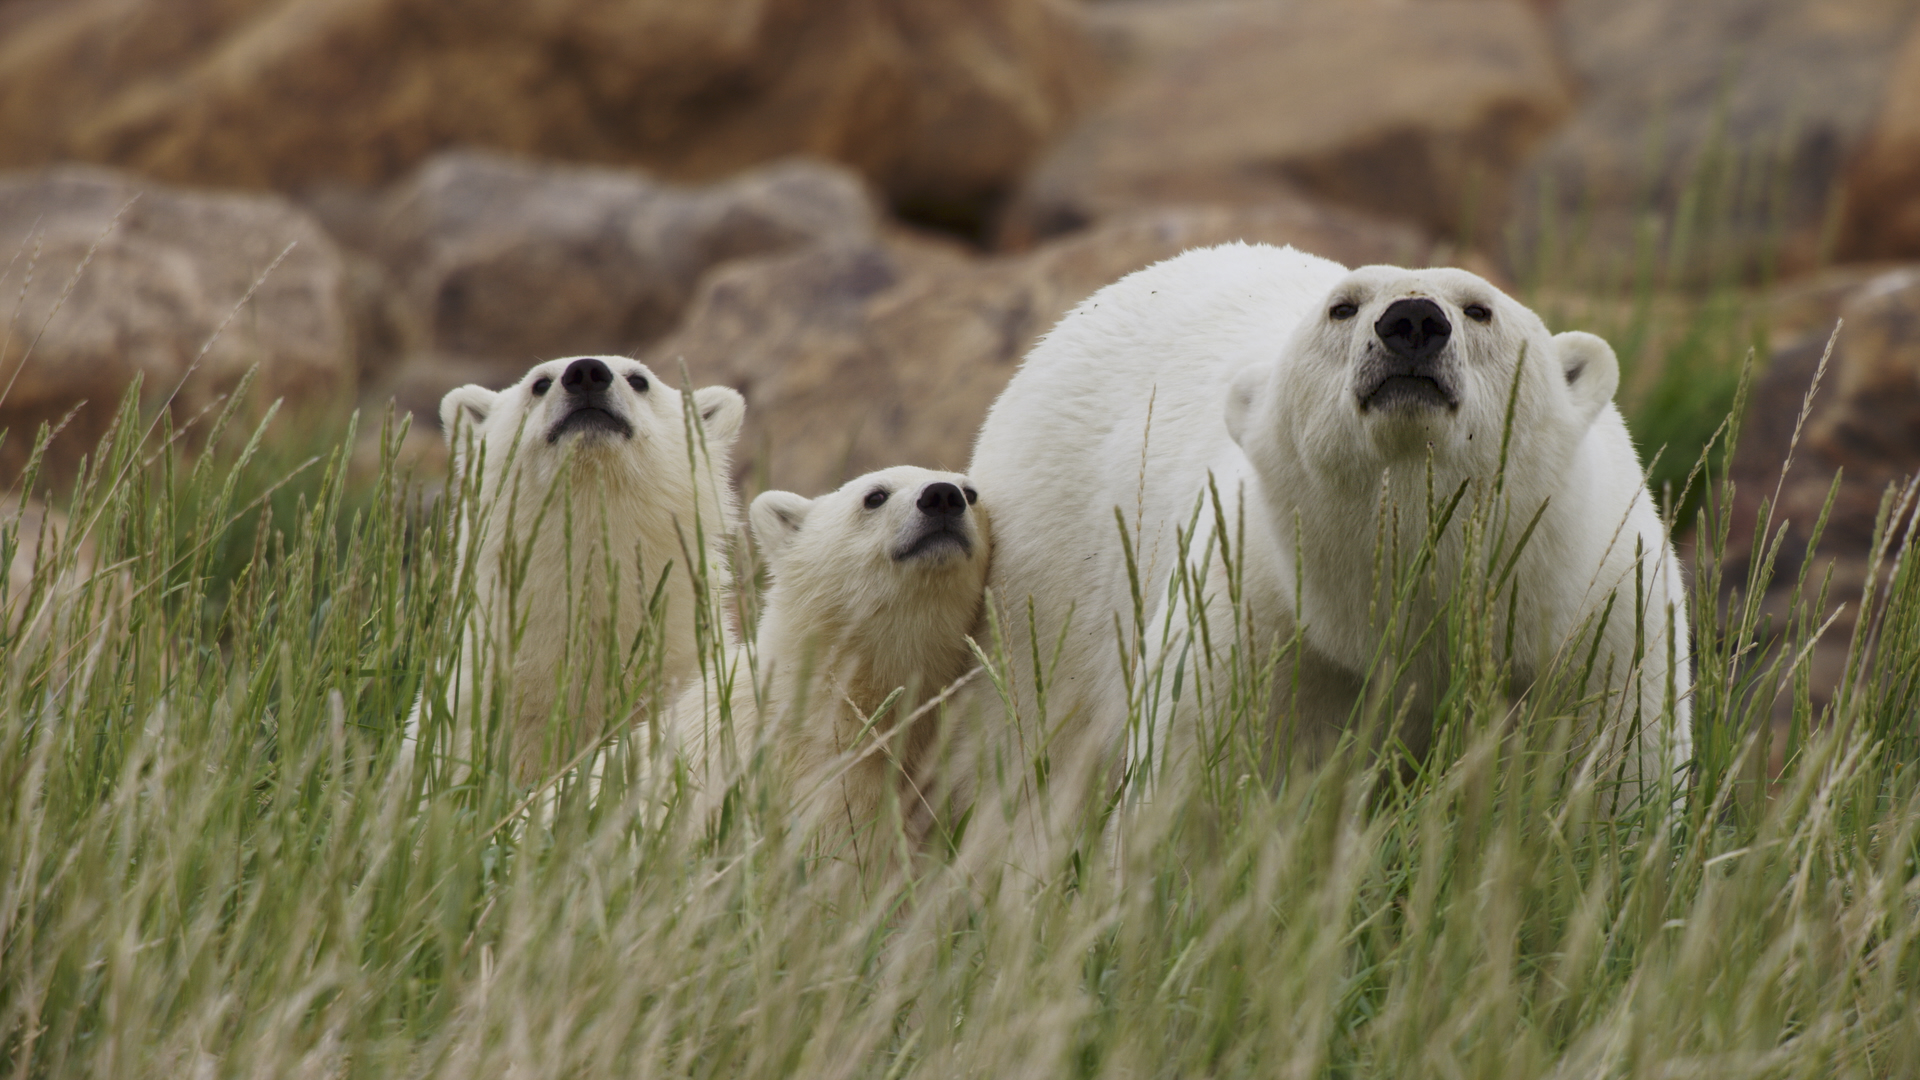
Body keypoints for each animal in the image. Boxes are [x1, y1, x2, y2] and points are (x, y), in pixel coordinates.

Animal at [975, 239, 1697, 803]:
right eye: (1342, 306)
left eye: (1479, 307)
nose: (1413, 320)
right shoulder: (1265, 620)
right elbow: (1200, 781)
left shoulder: (1597, 622)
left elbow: (1612, 776)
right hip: (1050, 583)